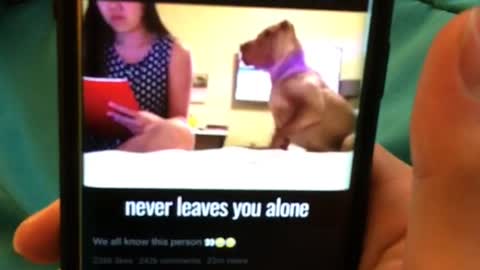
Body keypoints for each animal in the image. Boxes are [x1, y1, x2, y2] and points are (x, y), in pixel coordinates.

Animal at [240, 20, 356, 152]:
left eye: (267, 33)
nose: (241, 46)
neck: (287, 70)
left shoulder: (312, 108)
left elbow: (281, 131)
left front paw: (267, 148)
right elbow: (279, 135)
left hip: (348, 139)